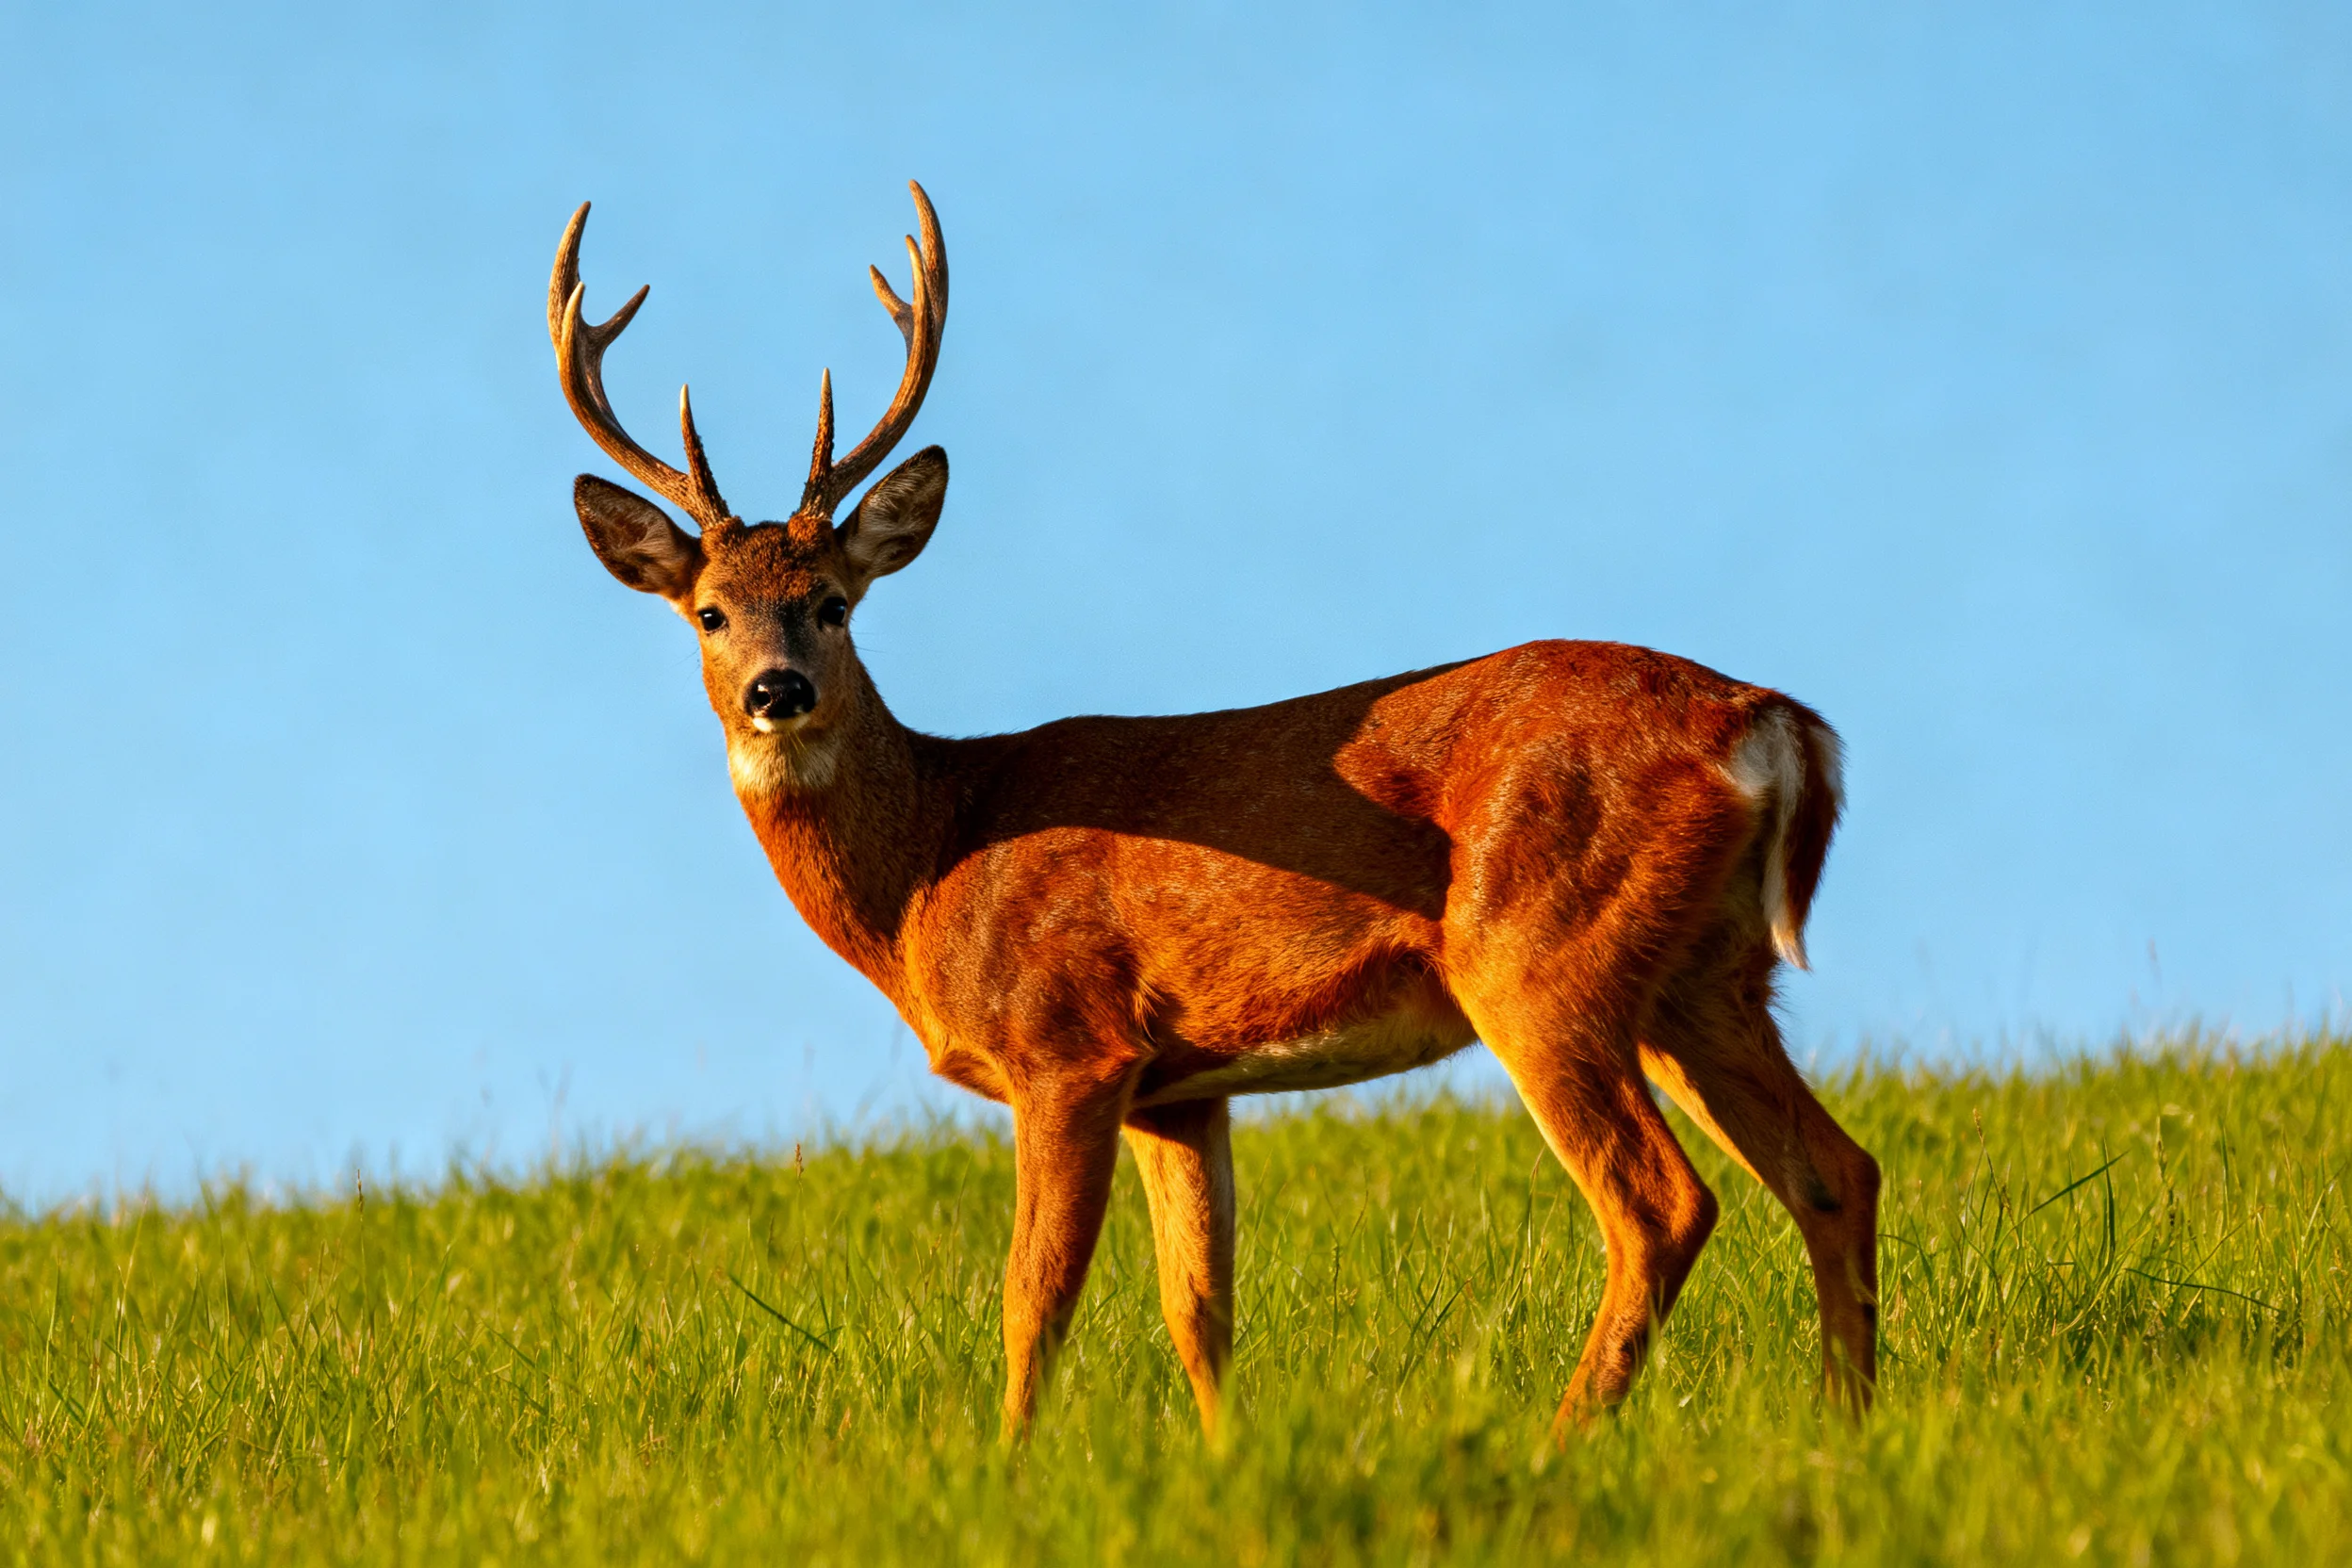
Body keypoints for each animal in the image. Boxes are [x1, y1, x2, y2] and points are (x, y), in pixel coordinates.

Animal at [547, 182, 1879, 1443]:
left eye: (833, 601)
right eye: (710, 611)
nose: (778, 690)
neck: (932, 860)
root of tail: (1769, 720)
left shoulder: (1069, 1043)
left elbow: (1035, 1295)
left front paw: (1005, 1465)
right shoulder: (1179, 1082)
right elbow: (1201, 1306)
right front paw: (1221, 1455)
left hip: (1543, 951)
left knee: (1664, 1202)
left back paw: (1569, 1437)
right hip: (1704, 971)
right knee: (1838, 1169)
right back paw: (1847, 1419)